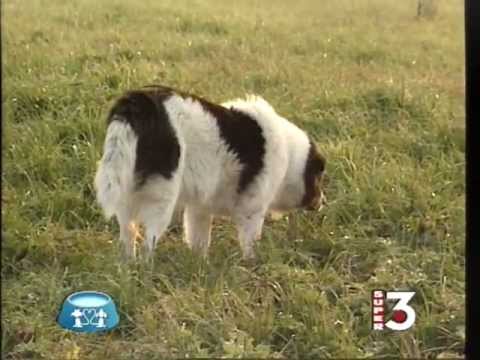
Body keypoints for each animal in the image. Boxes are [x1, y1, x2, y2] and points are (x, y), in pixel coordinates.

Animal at [94, 86, 326, 262]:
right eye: (318, 177)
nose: (322, 202)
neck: (290, 157)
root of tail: (138, 101)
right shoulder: (252, 209)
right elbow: (250, 242)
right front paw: (252, 264)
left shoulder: (200, 209)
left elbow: (200, 240)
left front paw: (200, 265)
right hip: (161, 196)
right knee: (149, 238)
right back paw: (146, 268)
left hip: (127, 190)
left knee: (128, 232)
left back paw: (128, 265)